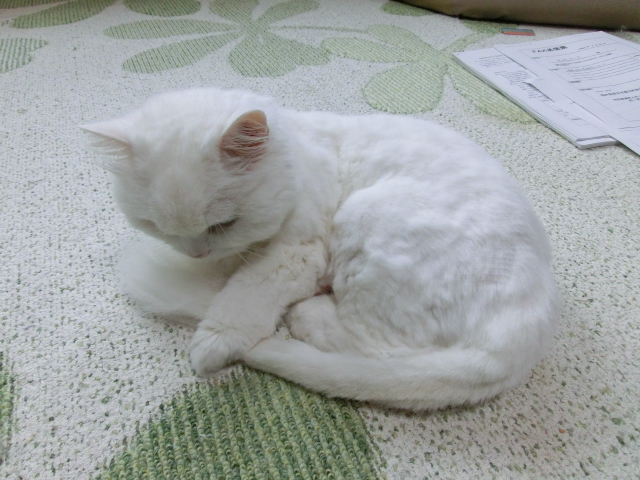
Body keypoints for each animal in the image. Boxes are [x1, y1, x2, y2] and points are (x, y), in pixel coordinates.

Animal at [83, 87, 560, 411]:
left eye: (223, 223)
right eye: (154, 226)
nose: (196, 254)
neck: (298, 158)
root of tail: (529, 327)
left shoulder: (296, 255)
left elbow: (241, 300)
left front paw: (212, 342)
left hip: (367, 217)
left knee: (369, 346)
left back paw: (306, 315)